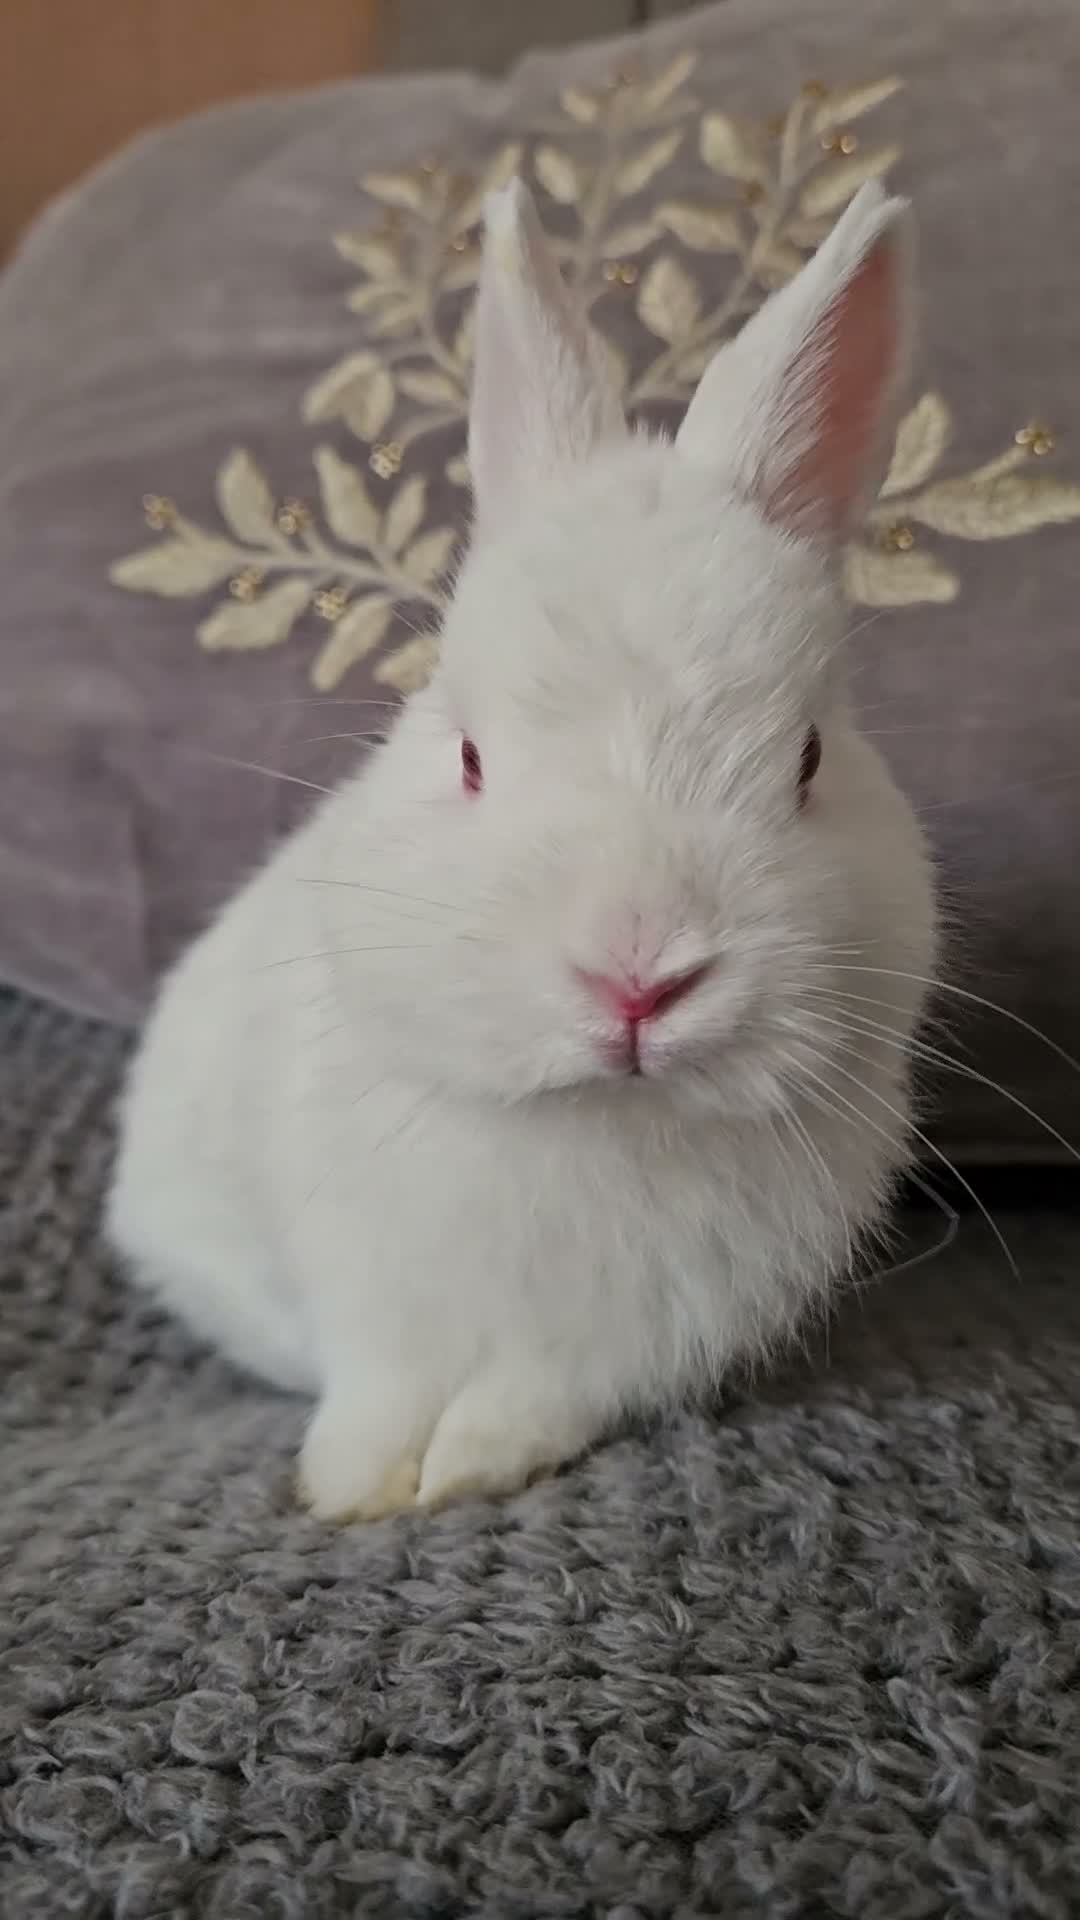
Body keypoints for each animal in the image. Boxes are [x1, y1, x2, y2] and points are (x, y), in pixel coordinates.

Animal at [106, 177, 937, 1522]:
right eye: (469, 757)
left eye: (809, 760)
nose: (638, 979)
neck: (593, 1122)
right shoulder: (373, 1289)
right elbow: (379, 1388)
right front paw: (355, 1487)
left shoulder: (622, 1336)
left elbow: (531, 1398)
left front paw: (467, 1469)